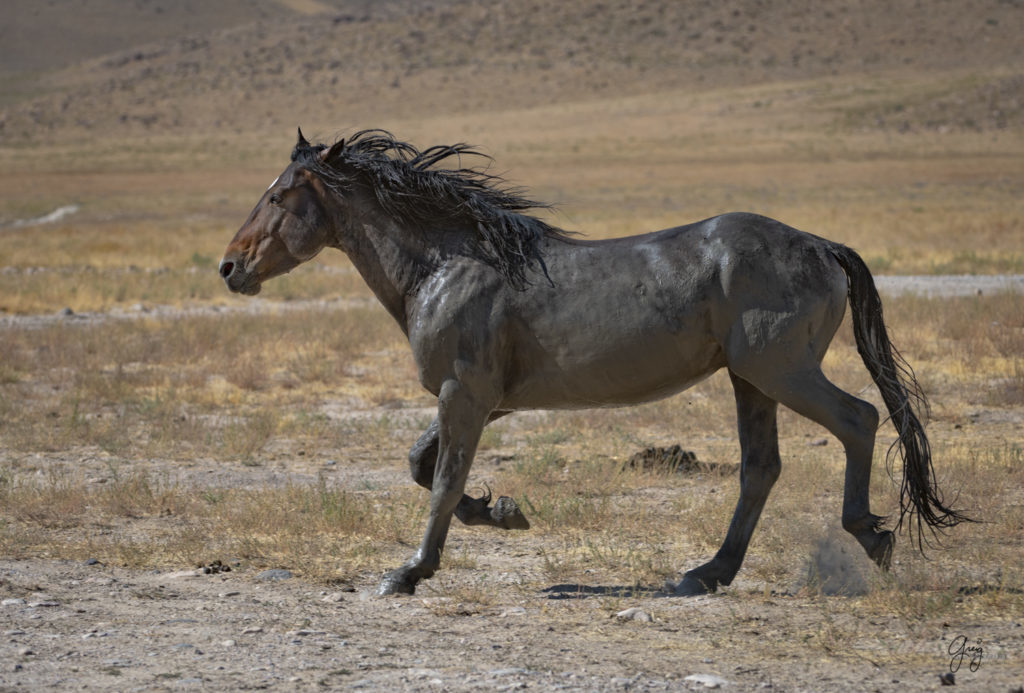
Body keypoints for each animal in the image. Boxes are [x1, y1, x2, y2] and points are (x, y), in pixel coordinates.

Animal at [218, 131, 966, 593]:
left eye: (279, 195)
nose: (230, 268)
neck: (447, 265)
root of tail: (820, 245)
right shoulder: (482, 399)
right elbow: (423, 466)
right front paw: (504, 511)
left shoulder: (466, 393)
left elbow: (441, 479)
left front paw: (410, 571)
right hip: (750, 379)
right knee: (761, 467)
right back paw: (706, 573)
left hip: (781, 370)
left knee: (858, 419)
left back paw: (870, 536)